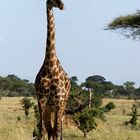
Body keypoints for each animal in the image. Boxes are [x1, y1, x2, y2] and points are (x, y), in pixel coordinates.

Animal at [34, 0, 70, 140]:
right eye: (51, 0)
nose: (62, 5)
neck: (50, 65)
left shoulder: (59, 101)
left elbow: (57, 131)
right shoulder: (41, 100)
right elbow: (42, 131)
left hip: (62, 104)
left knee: (58, 130)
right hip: (50, 107)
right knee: (50, 130)